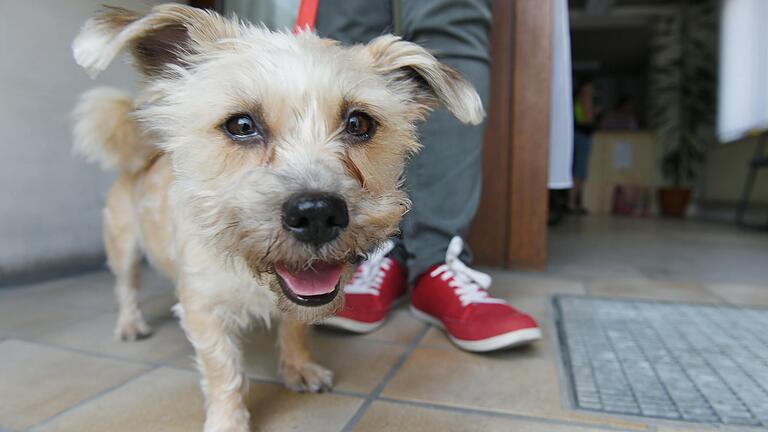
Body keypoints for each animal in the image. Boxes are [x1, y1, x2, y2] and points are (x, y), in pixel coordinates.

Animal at [70, 4, 480, 432]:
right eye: (241, 125)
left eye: (359, 123)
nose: (318, 214)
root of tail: (141, 158)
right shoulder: (204, 311)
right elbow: (224, 372)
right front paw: (227, 421)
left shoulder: (303, 299)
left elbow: (296, 328)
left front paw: (298, 368)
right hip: (123, 249)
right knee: (126, 288)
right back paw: (130, 324)